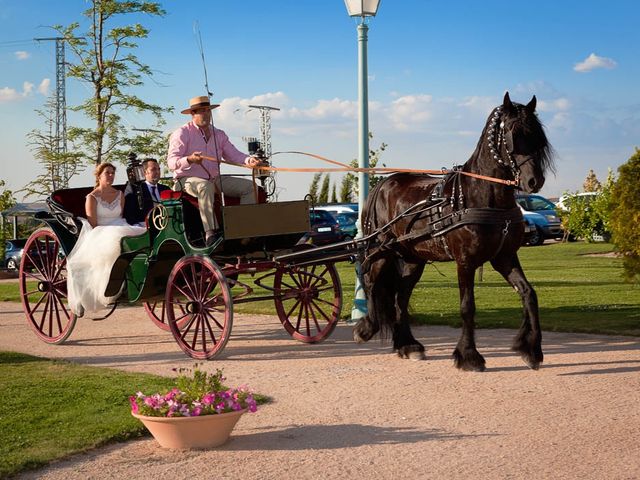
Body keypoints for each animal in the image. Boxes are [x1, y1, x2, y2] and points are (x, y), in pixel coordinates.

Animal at [356, 94, 556, 372]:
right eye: (513, 135)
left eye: (538, 136)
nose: (534, 181)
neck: (481, 197)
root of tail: (383, 184)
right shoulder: (465, 261)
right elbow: (467, 306)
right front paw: (469, 356)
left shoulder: (504, 257)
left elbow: (529, 294)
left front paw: (532, 350)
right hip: (381, 251)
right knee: (372, 283)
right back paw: (366, 327)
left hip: (412, 259)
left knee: (400, 297)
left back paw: (408, 345)